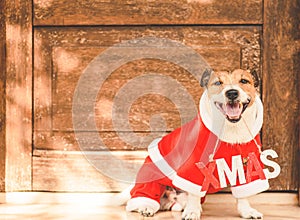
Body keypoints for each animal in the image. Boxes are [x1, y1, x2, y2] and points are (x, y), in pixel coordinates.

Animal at [123, 68, 268, 218]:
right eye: (218, 82)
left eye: (244, 81)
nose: (232, 93)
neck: (230, 130)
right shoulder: (193, 168)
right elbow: (194, 193)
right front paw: (192, 211)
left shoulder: (245, 167)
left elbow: (243, 195)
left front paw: (247, 211)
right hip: (152, 179)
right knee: (142, 199)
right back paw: (146, 207)